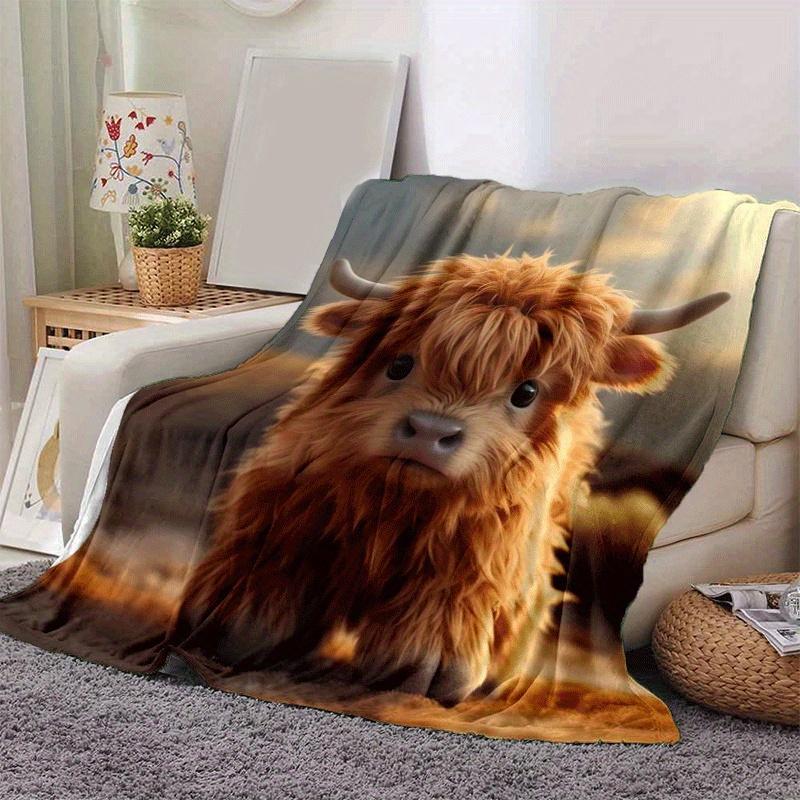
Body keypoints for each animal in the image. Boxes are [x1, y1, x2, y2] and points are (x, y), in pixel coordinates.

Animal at [182, 253, 728, 706]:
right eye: (400, 363)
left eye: (526, 392)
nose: (430, 432)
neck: (398, 505)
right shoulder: (287, 504)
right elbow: (274, 558)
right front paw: (242, 623)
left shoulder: (483, 545)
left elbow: (451, 596)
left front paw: (426, 668)